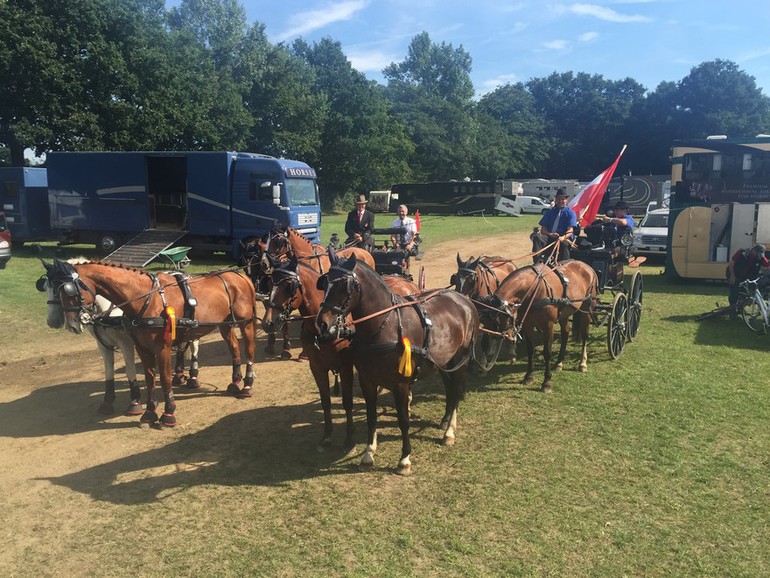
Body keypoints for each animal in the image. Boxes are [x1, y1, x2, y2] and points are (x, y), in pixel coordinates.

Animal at [41, 258, 258, 426]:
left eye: (69, 291)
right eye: (50, 289)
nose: (72, 324)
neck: (146, 298)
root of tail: (240, 276)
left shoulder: (161, 348)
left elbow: (165, 378)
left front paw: (168, 413)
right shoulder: (141, 348)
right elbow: (149, 379)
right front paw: (149, 413)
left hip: (245, 323)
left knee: (249, 350)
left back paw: (247, 385)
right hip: (225, 325)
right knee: (234, 348)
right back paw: (235, 382)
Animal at [264, 254, 420, 448]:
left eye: (288, 286)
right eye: (269, 283)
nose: (268, 323)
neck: (322, 332)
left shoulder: (346, 366)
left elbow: (347, 402)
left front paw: (349, 435)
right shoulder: (317, 367)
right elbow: (326, 402)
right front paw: (327, 435)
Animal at [316, 250, 476, 474]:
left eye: (343, 286)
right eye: (324, 283)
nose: (321, 324)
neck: (386, 326)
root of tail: (464, 299)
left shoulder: (400, 384)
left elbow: (403, 421)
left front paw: (404, 459)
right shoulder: (367, 381)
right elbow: (371, 416)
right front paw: (368, 453)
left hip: (461, 360)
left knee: (456, 391)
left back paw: (449, 432)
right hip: (445, 361)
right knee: (450, 389)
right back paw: (445, 422)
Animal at [476, 260, 596, 392]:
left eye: (504, 317)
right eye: (492, 319)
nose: (509, 337)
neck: (535, 290)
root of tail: (586, 265)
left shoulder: (548, 326)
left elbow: (547, 352)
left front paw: (547, 382)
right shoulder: (528, 325)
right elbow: (530, 350)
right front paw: (528, 376)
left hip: (587, 307)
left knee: (585, 334)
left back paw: (582, 363)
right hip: (564, 313)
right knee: (566, 331)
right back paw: (559, 362)